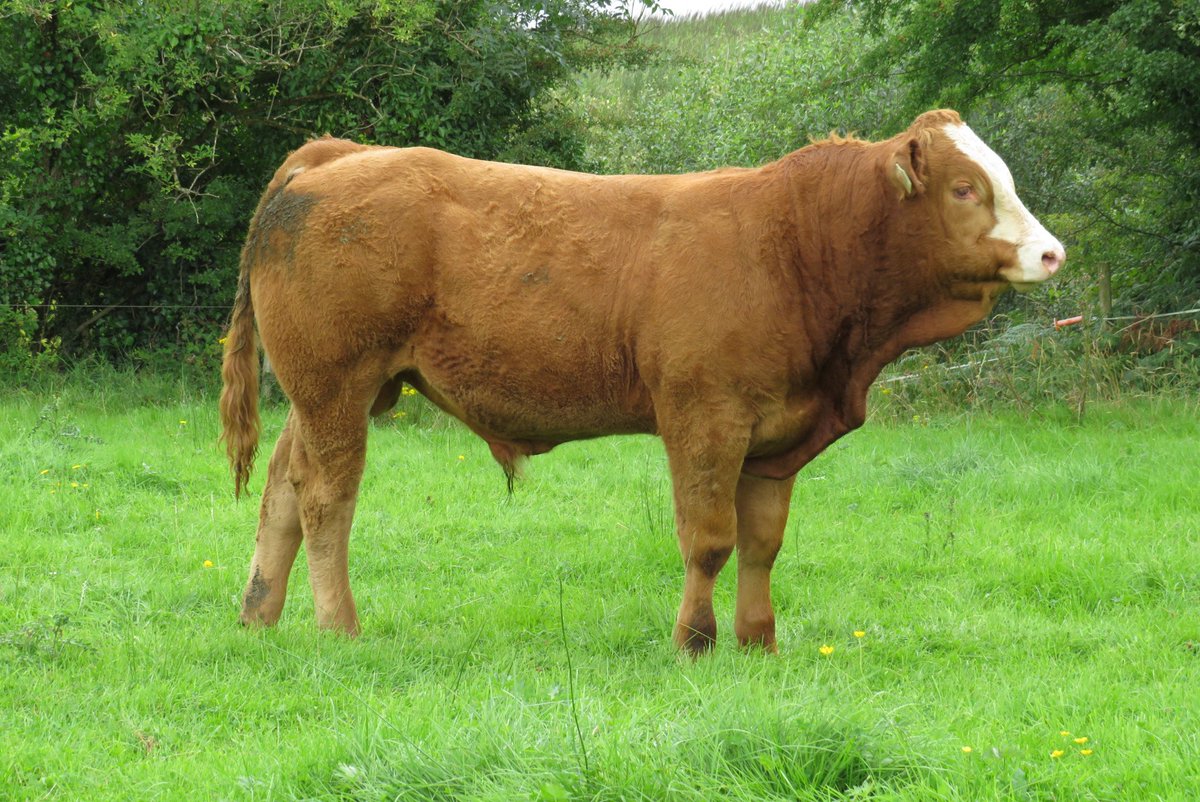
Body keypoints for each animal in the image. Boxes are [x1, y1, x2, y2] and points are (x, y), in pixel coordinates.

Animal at [219, 109, 1063, 654]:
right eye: (964, 188)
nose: (1052, 252)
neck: (794, 246)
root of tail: (339, 153)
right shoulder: (704, 419)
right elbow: (710, 540)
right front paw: (695, 641)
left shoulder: (775, 437)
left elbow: (761, 544)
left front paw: (758, 642)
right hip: (336, 385)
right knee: (327, 499)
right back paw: (339, 627)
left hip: (330, 393)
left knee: (283, 489)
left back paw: (260, 615)